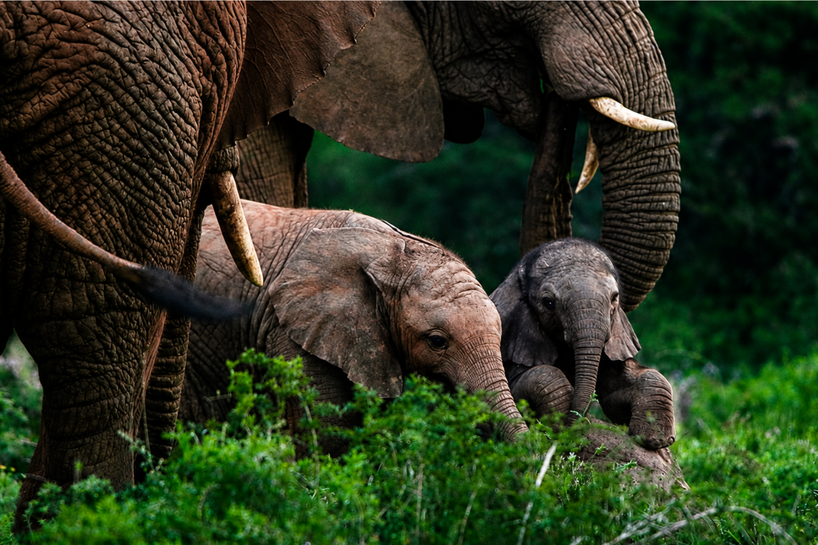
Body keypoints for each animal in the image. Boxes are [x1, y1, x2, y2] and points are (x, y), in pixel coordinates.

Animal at [490, 238, 675, 450]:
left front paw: (656, 439)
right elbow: (525, 382)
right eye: (548, 303)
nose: (574, 428)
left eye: (614, 298)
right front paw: (559, 423)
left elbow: (618, 393)